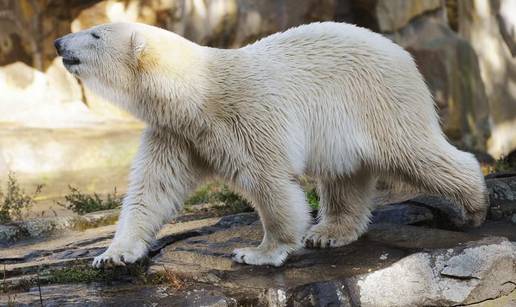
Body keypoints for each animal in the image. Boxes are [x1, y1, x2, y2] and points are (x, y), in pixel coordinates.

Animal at [55, 21, 488, 268]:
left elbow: (269, 181)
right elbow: (152, 188)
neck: (197, 91)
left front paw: (258, 252)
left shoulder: (246, 115)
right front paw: (112, 255)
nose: (59, 42)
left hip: (376, 99)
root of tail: (400, 52)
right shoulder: (176, 132)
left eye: (95, 34)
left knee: (414, 150)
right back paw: (330, 231)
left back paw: (474, 206)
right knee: (345, 174)